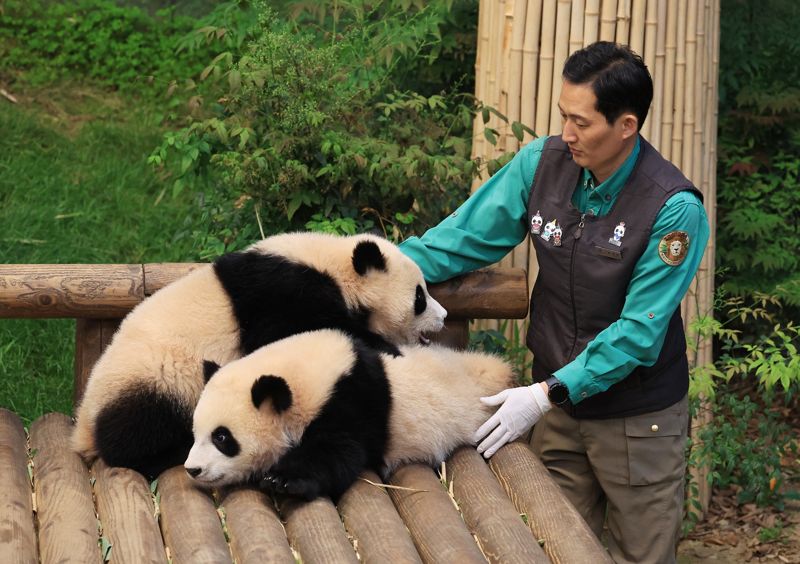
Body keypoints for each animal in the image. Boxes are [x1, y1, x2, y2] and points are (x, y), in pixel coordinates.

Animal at [72, 231, 446, 478]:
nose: (442, 317)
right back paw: (172, 449)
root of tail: (84, 422)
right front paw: (384, 346)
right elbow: (296, 330)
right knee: (135, 433)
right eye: (420, 297)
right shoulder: (282, 292)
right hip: (156, 378)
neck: (330, 263)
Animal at [187, 328, 512, 500]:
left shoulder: (349, 400)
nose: (193, 469)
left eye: (222, 437)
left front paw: (282, 480)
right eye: (195, 433)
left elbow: (336, 451)